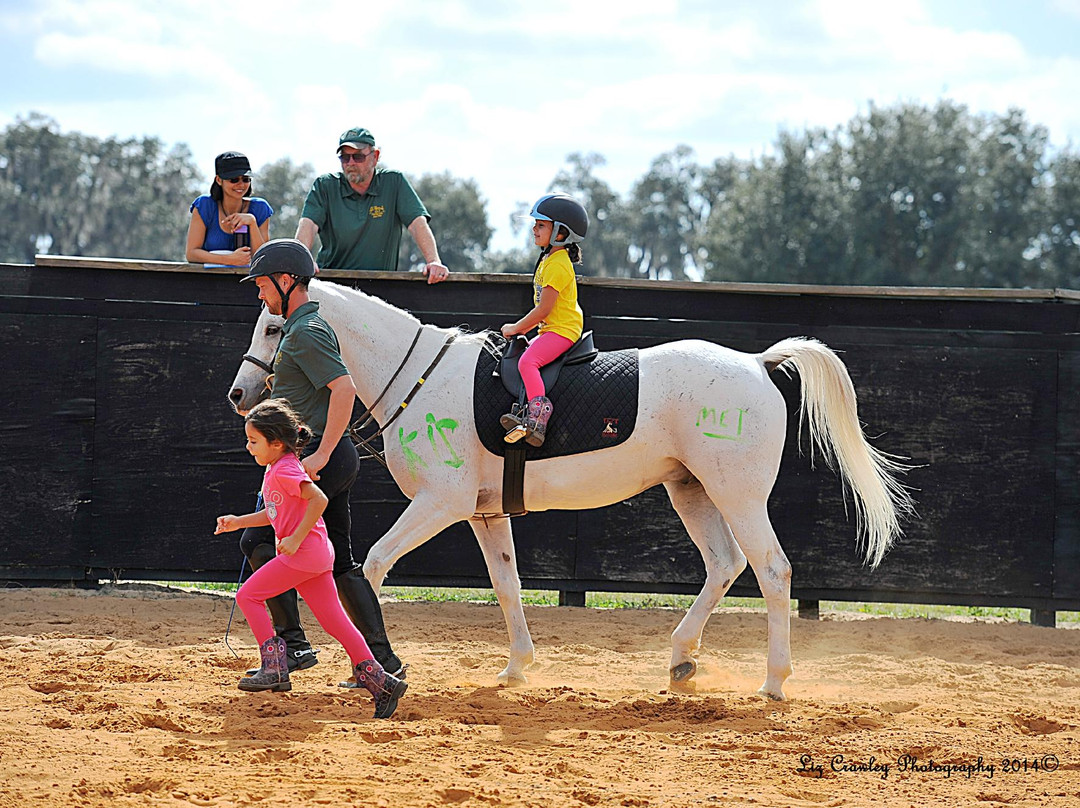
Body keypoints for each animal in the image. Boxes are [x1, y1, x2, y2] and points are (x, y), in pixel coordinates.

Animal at [227, 278, 912, 701]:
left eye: (274, 327)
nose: (239, 394)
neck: (420, 377)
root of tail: (755, 363)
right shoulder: (483, 515)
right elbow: (506, 584)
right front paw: (516, 666)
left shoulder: (439, 505)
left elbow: (368, 567)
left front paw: (375, 666)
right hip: (690, 490)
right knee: (725, 564)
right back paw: (681, 659)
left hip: (736, 494)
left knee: (771, 570)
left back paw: (773, 680)